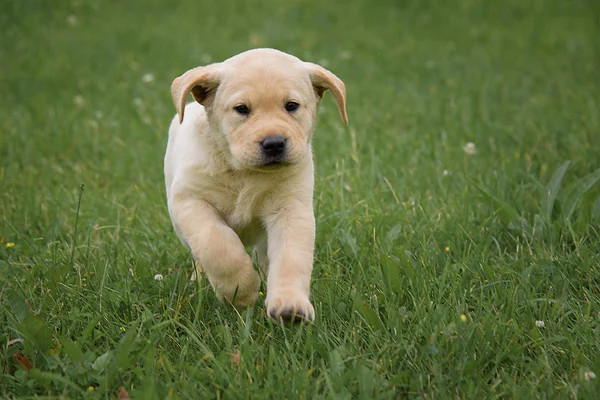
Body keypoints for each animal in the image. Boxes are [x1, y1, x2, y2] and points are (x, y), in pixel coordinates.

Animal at [164, 47, 346, 322]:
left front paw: (290, 305)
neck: (245, 174)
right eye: (242, 109)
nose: (274, 143)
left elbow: (291, 258)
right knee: (200, 255)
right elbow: (217, 244)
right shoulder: (190, 200)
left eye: (291, 106)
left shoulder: (291, 208)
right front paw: (241, 291)